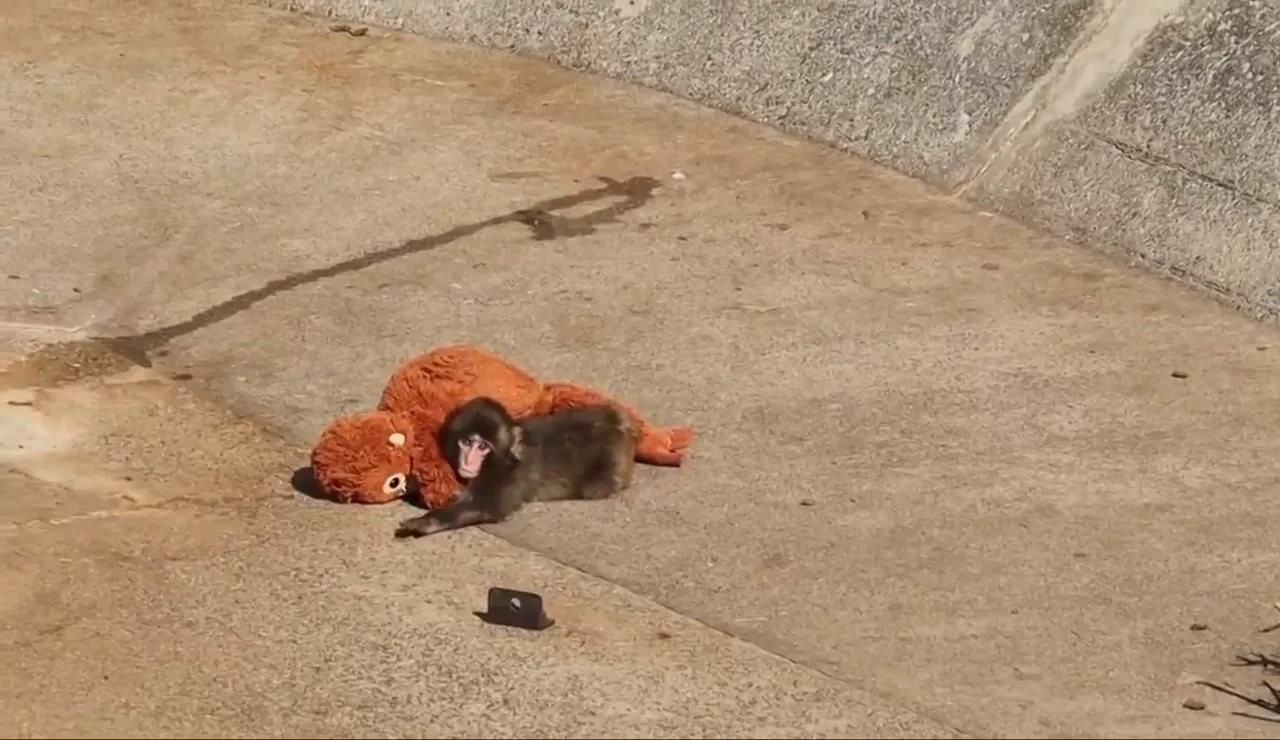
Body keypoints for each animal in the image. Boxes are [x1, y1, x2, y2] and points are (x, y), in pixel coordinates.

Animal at [394, 396, 637, 538]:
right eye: (466, 442)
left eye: (482, 446)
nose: (468, 461)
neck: (500, 460)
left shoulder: (511, 476)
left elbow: (488, 507)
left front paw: (427, 521)